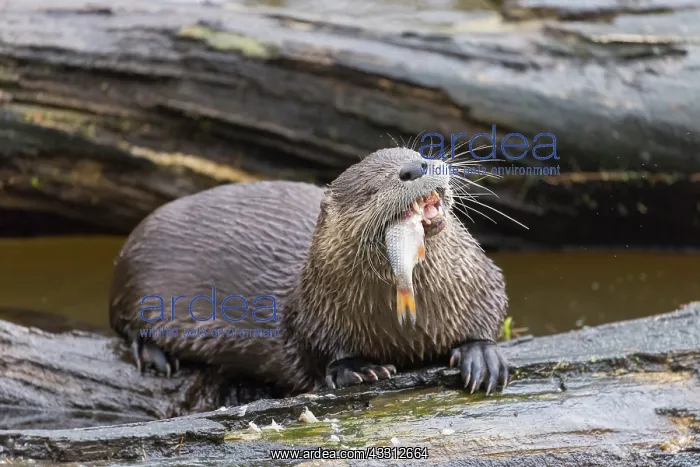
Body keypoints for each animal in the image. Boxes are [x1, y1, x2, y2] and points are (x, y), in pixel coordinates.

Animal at [109, 147, 509, 398]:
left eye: (418, 154)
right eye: (371, 189)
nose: (416, 168)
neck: (406, 326)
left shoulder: (482, 280)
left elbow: (492, 310)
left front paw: (480, 353)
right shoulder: (310, 313)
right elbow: (315, 350)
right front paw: (356, 367)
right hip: (136, 280)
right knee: (127, 324)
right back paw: (156, 356)